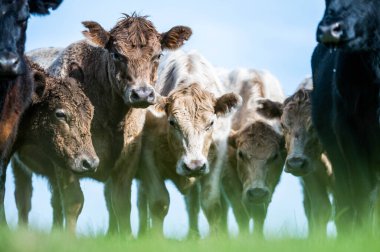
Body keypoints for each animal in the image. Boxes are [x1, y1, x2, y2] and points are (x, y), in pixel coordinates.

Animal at [26, 13, 193, 234]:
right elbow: (73, 202)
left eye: (158, 55)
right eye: (116, 54)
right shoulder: (66, 158)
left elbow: (121, 204)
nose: (142, 94)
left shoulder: (128, 159)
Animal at [220, 67, 284, 236]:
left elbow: (259, 214)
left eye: (275, 156)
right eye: (240, 154)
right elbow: (241, 214)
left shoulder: (270, 184)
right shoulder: (229, 180)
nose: (256, 193)